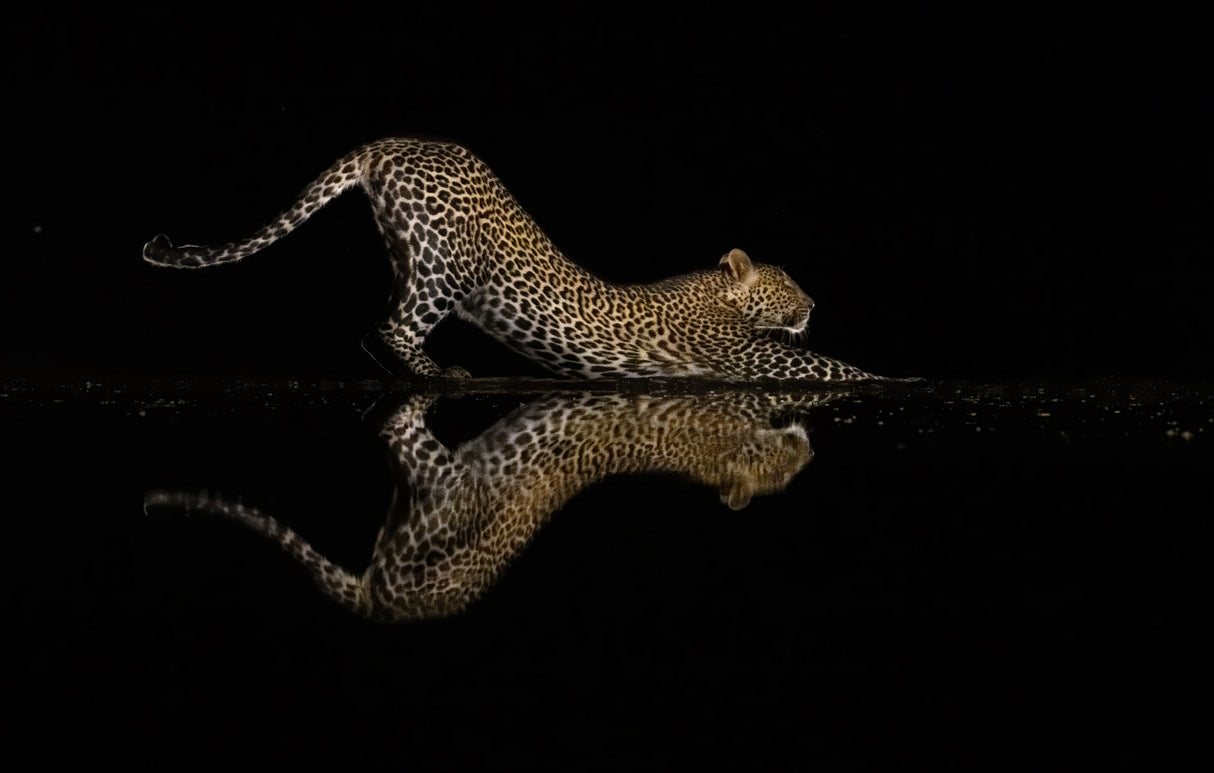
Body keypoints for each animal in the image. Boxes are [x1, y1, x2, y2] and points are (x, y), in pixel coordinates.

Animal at [143, 137, 900, 382]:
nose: (815, 306)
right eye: (788, 282)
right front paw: (896, 378)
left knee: (373, 325)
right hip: (445, 265)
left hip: (407, 253)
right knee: (392, 327)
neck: (715, 292)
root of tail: (393, 144)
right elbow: (838, 368)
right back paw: (443, 374)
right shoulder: (748, 356)